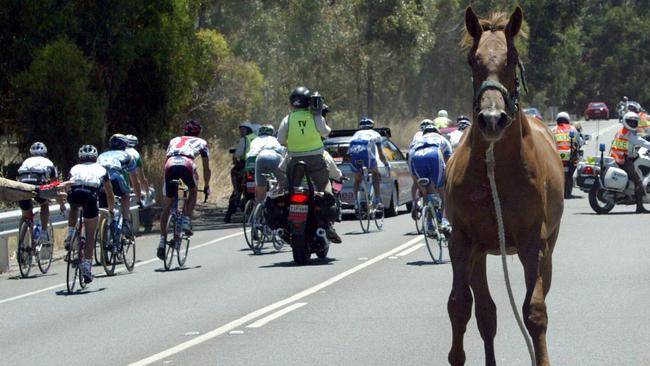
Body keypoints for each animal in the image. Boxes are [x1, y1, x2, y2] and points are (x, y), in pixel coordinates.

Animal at [446, 6, 560, 366]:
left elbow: (534, 311)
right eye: (473, 59)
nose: (492, 119)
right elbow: (460, 306)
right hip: (480, 252)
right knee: (486, 312)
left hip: (548, 248)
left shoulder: (533, 243)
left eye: (512, 58)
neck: (494, 169)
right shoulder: (462, 242)